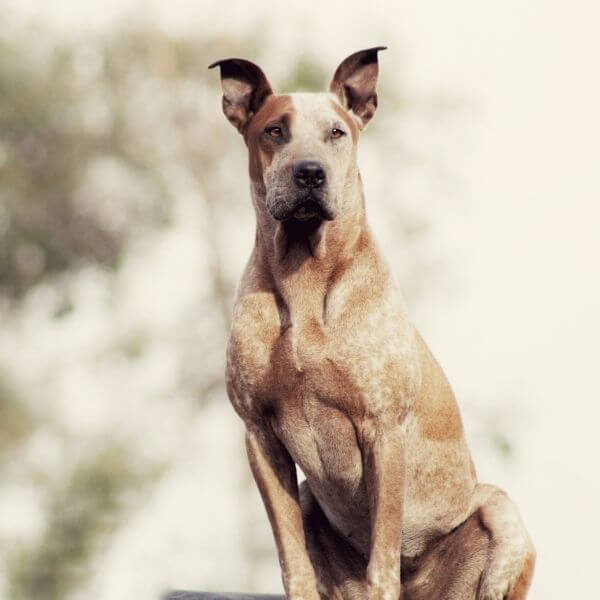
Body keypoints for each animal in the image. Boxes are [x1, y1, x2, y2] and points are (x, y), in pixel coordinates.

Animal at [211, 48, 536, 600]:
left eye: (336, 132)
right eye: (274, 130)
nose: (310, 173)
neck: (306, 274)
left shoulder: (382, 430)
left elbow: (382, 559)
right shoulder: (259, 435)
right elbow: (292, 560)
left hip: (504, 517)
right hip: (307, 497)